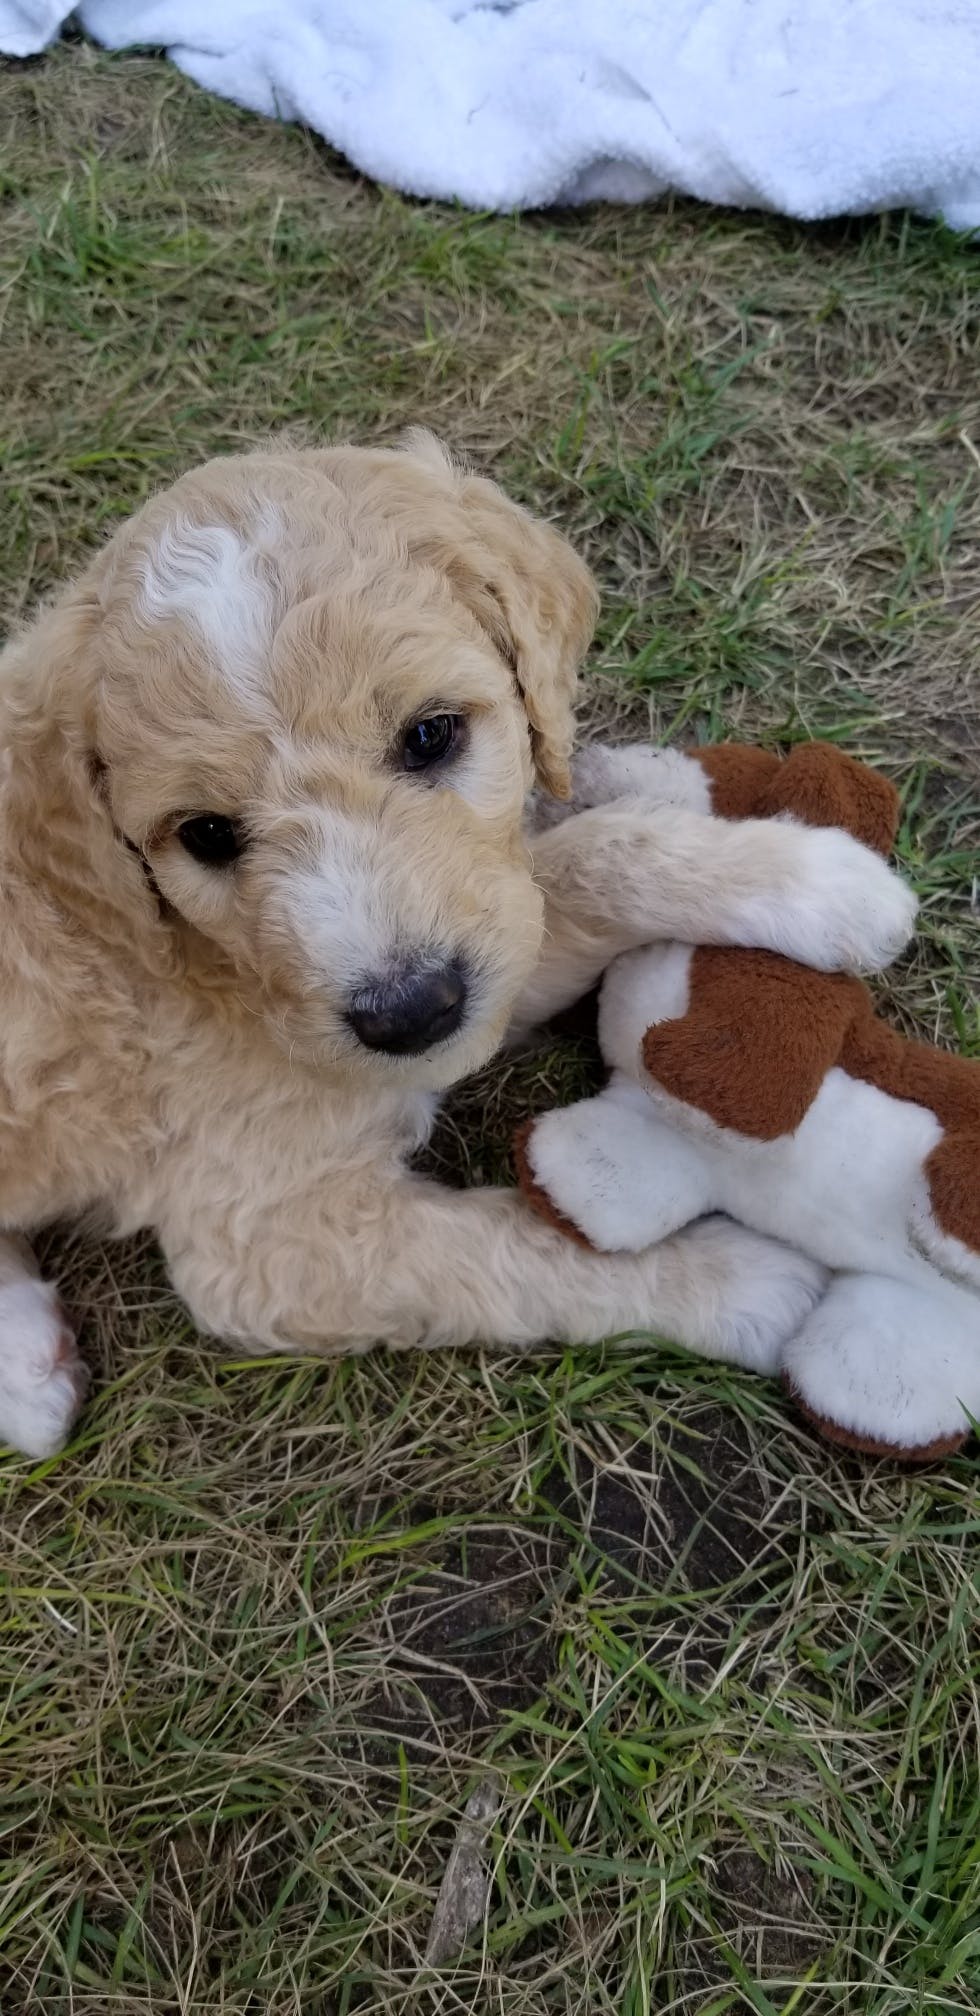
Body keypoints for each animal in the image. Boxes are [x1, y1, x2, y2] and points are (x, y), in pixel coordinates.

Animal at [0, 433, 919, 1459]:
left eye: (431, 735)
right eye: (203, 835)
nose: (410, 1015)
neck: (181, 953)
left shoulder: (493, 939)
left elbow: (582, 862)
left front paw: (806, 879)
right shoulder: (268, 1242)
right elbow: (514, 1252)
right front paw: (739, 1283)